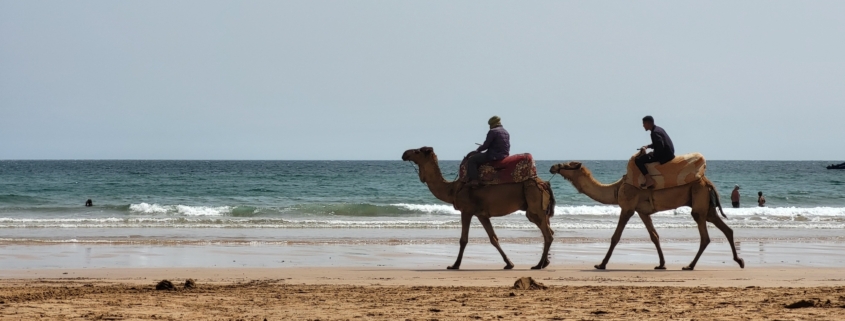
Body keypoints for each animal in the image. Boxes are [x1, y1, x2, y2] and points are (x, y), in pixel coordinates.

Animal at [400, 148, 552, 270]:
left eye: (417, 151)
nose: (405, 153)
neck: (453, 189)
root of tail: (543, 183)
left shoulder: (466, 210)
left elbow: (463, 239)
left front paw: (454, 265)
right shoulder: (482, 214)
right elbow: (493, 238)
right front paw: (509, 264)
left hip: (534, 203)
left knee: (548, 234)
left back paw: (538, 265)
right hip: (539, 209)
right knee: (549, 232)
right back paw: (544, 263)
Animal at [552, 161, 740, 268]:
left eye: (568, 164)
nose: (553, 166)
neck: (617, 188)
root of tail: (708, 183)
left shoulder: (627, 207)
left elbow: (615, 237)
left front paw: (601, 264)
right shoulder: (642, 211)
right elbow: (654, 236)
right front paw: (661, 264)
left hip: (699, 199)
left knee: (704, 235)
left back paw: (690, 266)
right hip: (707, 205)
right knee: (726, 229)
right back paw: (739, 261)